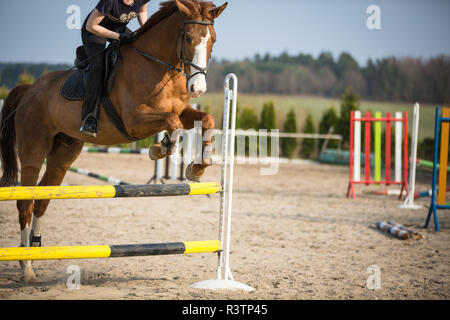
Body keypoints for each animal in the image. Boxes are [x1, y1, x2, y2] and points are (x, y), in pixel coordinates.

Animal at [0, 0, 225, 280]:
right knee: (25, 203)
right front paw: (158, 149)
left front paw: (197, 168)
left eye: (212, 40)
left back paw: (35, 252)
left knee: (43, 199)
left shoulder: (183, 111)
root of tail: (30, 90)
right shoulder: (134, 120)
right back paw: (26, 267)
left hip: (62, 156)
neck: (158, 66)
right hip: (32, 153)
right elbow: (171, 123)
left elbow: (206, 120)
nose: (198, 89)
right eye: (187, 37)